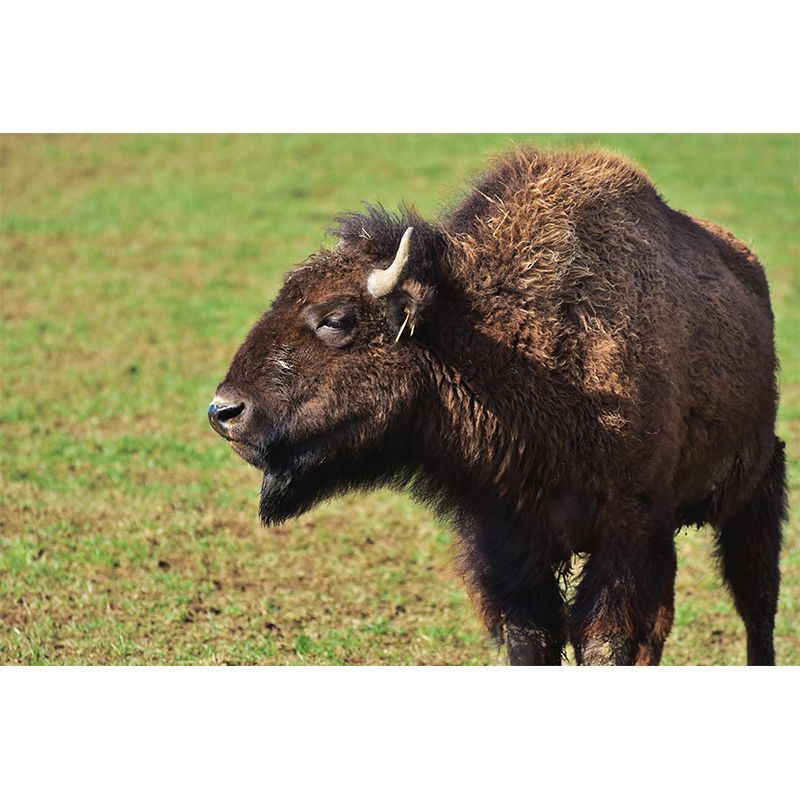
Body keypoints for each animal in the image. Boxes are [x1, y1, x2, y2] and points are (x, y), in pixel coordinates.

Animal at [210, 148, 786, 665]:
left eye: (336, 319)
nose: (224, 412)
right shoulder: (506, 541)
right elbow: (530, 640)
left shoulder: (628, 529)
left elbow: (607, 642)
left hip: (755, 486)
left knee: (756, 603)